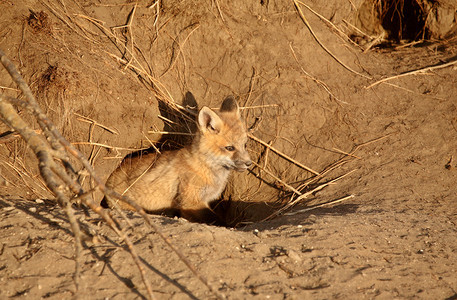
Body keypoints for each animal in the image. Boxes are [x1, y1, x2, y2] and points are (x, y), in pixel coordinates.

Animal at [102, 96, 251, 223]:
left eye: (244, 145)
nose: (249, 163)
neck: (205, 166)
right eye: (230, 148)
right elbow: (216, 220)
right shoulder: (190, 202)